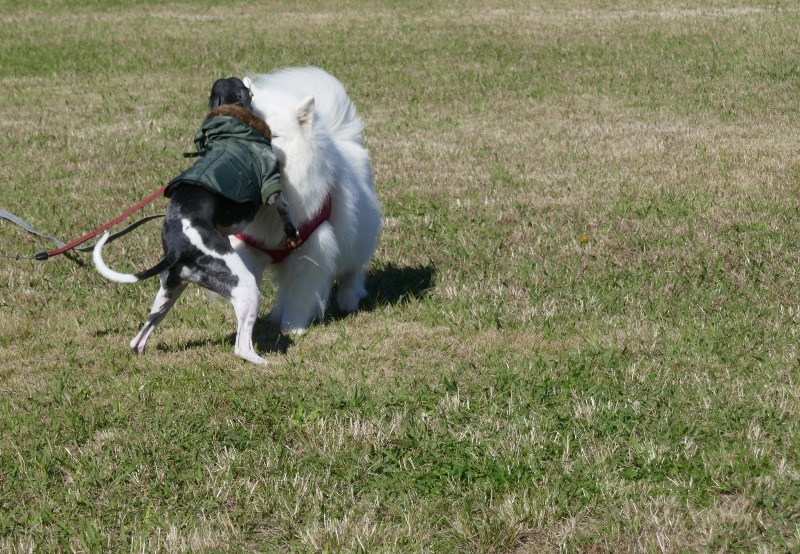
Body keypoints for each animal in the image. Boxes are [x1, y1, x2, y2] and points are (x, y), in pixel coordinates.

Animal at [91, 76, 296, 362]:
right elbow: (284, 208)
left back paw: (140, 350)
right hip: (245, 286)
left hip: (170, 291)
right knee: (241, 346)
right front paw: (291, 232)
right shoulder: (271, 187)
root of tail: (178, 248)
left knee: (139, 335)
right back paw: (265, 362)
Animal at [231, 64, 382, 332]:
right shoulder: (249, 249)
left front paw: (293, 328)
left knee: (353, 271)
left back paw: (348, 299)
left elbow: (299, 296)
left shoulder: (311, 253)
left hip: (355, 238)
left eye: (274, 136)